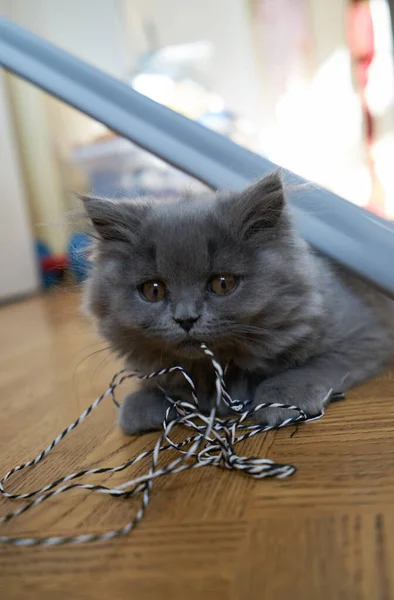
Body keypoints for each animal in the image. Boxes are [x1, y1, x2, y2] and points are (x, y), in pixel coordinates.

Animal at [81, 171, 392, 434]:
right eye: (153, 290)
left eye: (223, 284)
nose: (185, 319)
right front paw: (147, 401)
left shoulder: (366, 335)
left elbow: (313, 366)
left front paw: (282, 398)